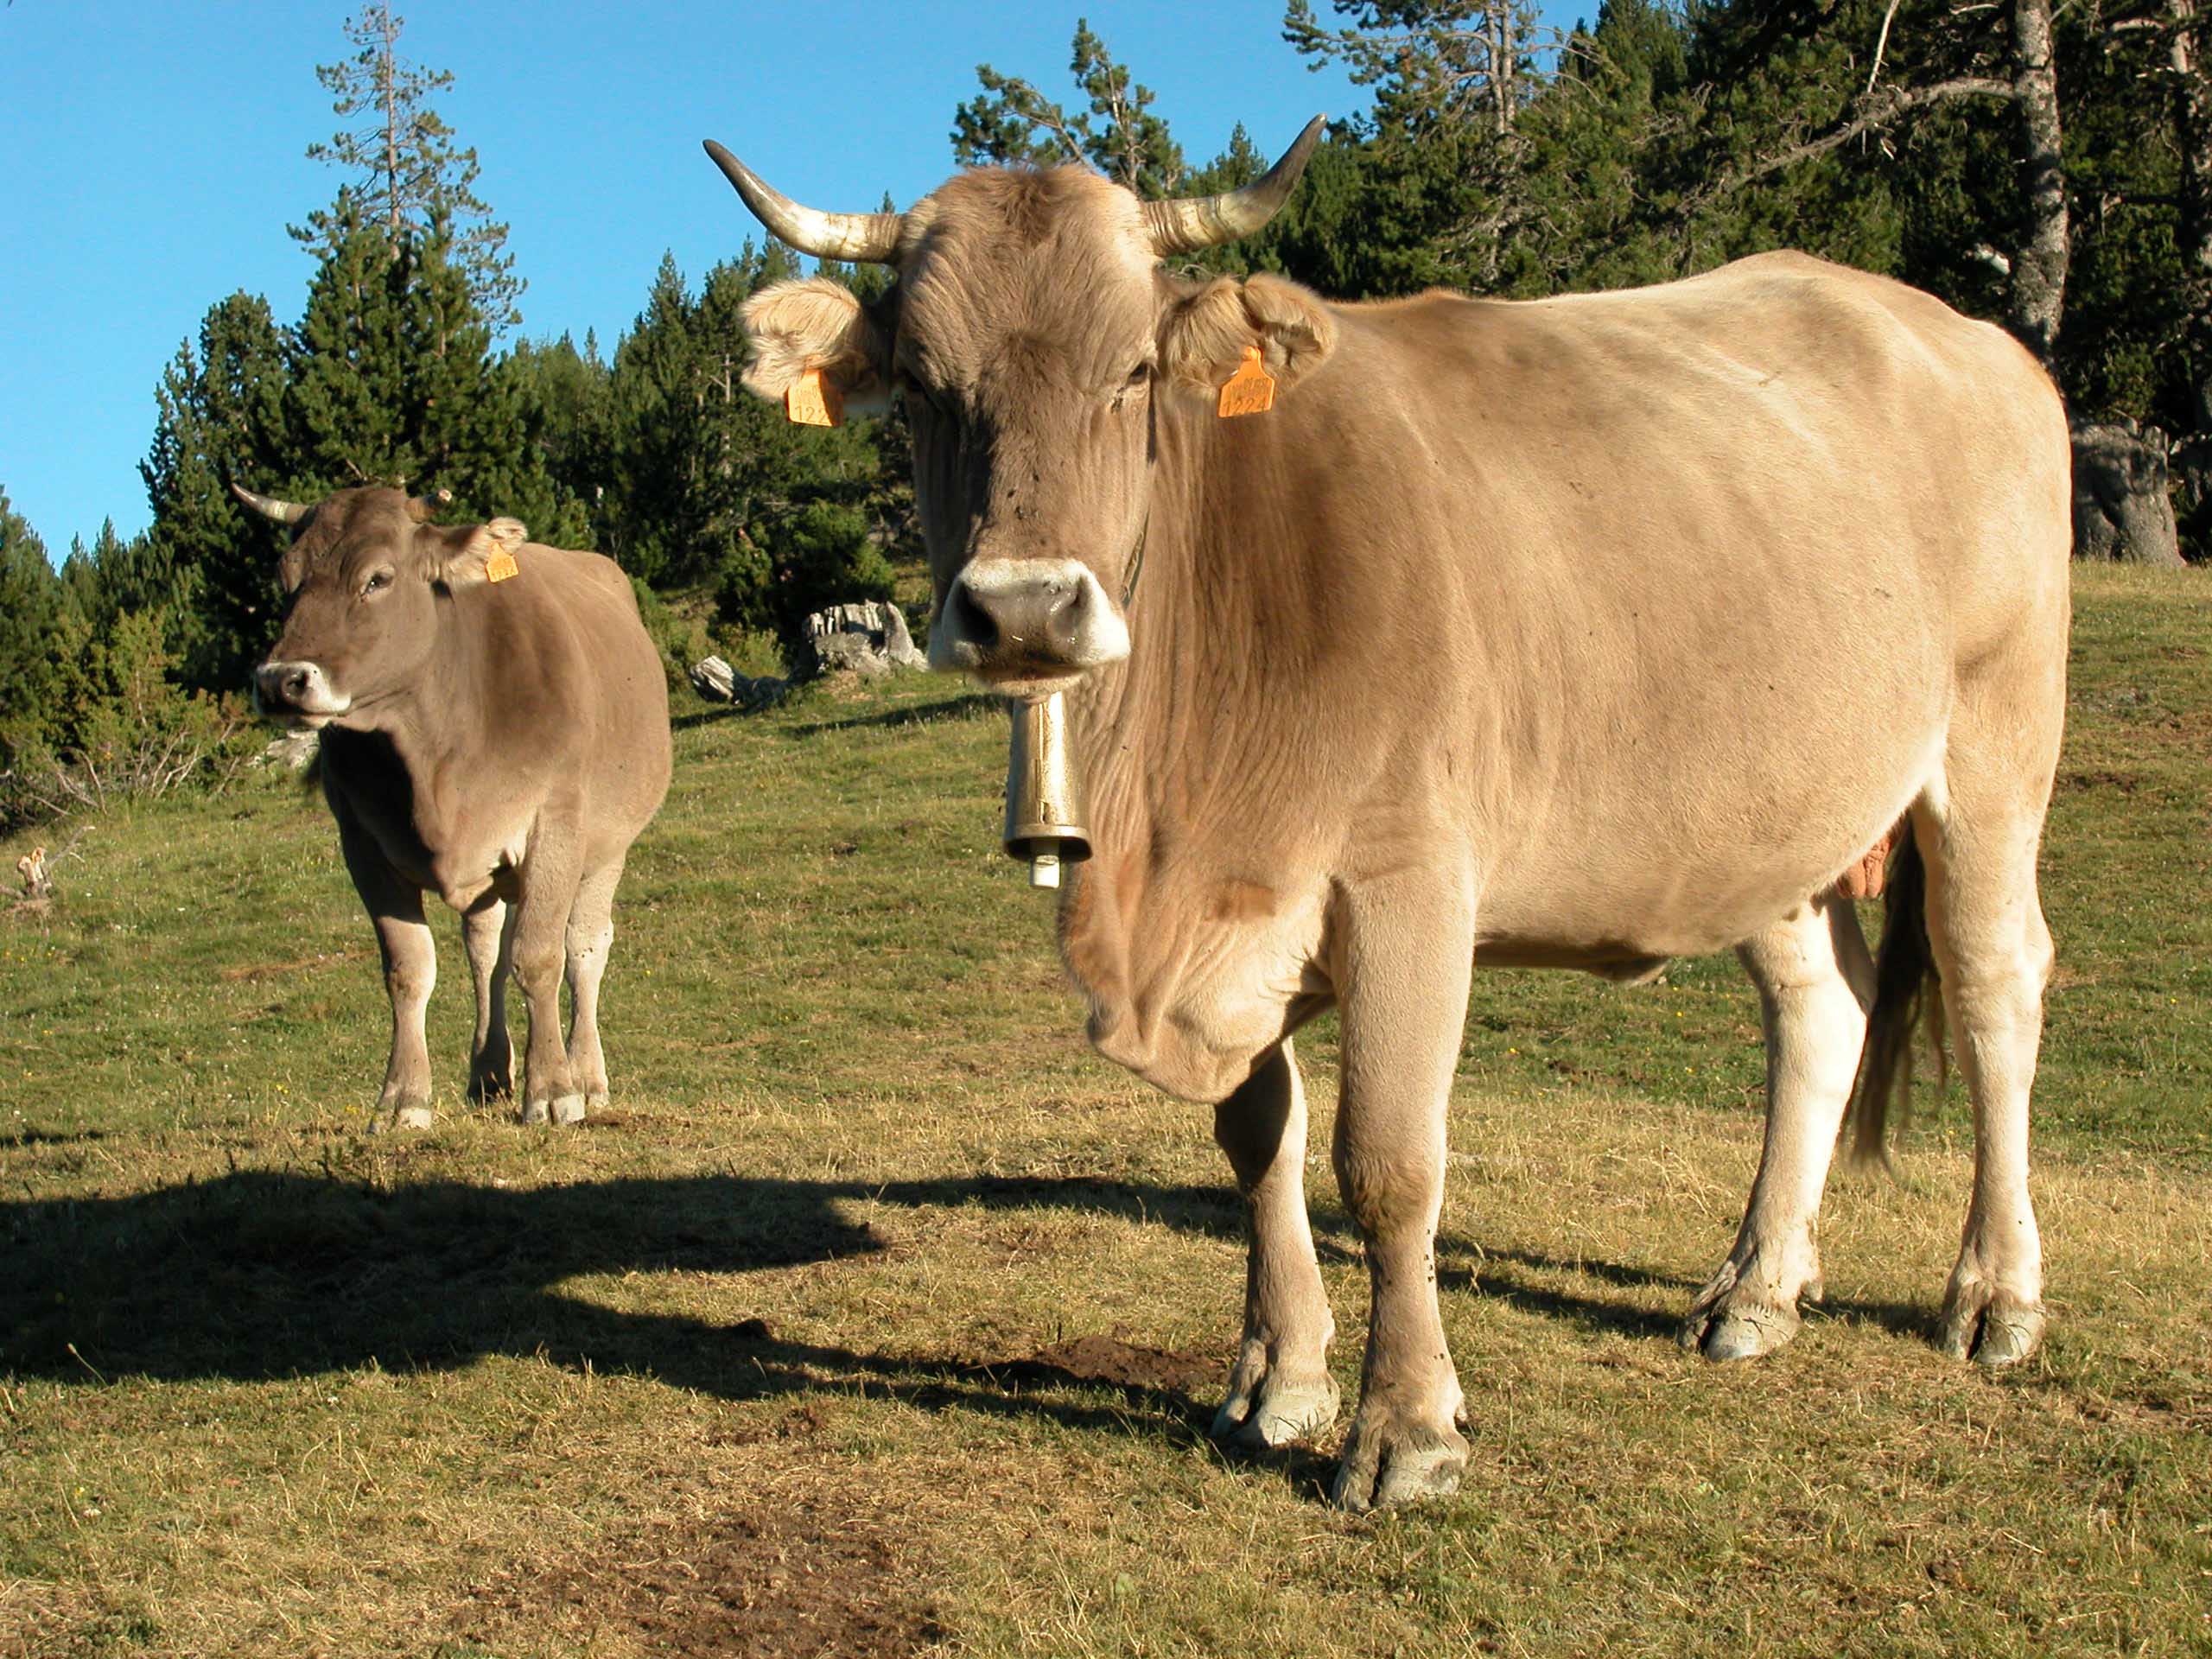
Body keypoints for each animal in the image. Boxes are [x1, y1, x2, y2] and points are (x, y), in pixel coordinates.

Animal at [235, 480, 672, 1132]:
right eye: (287, 578)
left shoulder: (556, 827)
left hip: (608, 847)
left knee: (583, 949)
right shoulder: (362, 844)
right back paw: (488, 1074)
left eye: (378, 579)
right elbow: (409, 970)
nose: (280, 681)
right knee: (485, 952)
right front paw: (402, 1099)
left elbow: (540, 957)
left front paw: (553, 1091)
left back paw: (588, 1075)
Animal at [708, 123, 2070, 1513]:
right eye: (925, 390)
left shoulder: (1408, 880)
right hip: (1768, 808)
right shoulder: (1236, 905)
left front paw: (1406, 1427)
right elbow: (1259, 1139)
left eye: (1133, 371)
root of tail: (1955, 328)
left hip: (1997, 733)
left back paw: (1993, 1297)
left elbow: (1389, 1161)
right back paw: (1755, 1289)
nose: (1024, 610)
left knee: (1995, 979)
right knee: (1821, 1005)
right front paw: (1280, 1379)